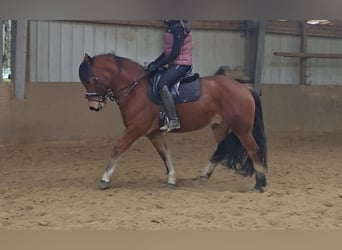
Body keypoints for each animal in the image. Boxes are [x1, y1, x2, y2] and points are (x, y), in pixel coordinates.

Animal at [79, 52, 268, 192]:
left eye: (93, 80)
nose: (93, 106)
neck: (136, 89)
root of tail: (245, 88)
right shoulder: (153, 133)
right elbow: (165, 153)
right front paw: (172, 179)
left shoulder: (136, 129)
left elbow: (117, 149)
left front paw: (105, 179)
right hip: (220, 127)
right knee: (221, 149)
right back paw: (203, 177)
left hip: (242, 129)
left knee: (254, 150)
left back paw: (259, 184)